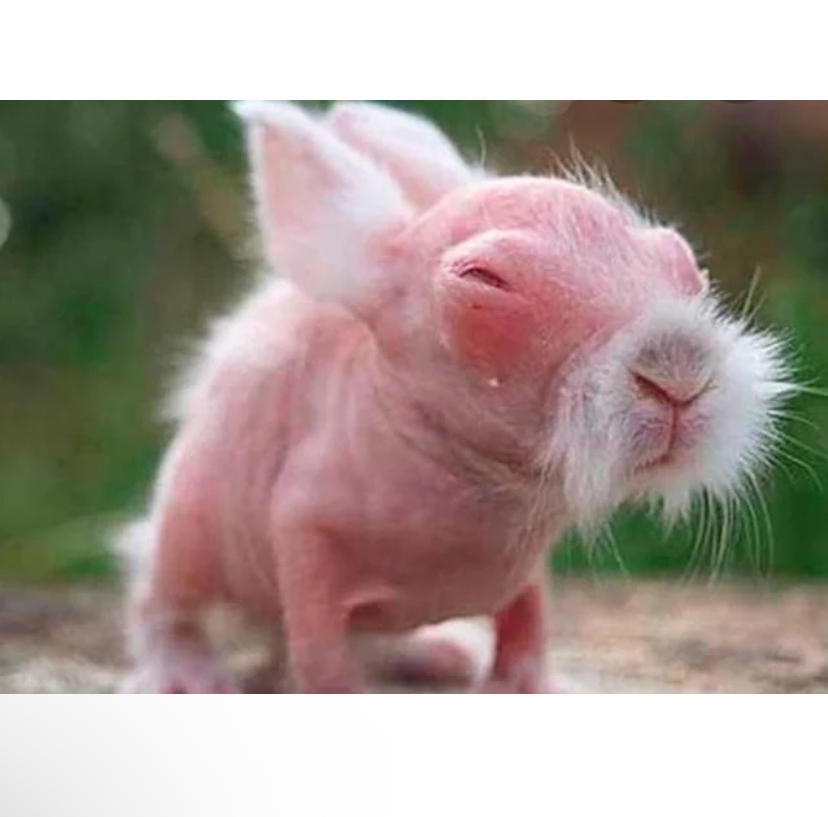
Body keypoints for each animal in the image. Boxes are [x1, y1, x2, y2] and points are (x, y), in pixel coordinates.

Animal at [119, 101, 791, 693]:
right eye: (485, 283)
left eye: (681, 259)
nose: (679, 371)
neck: (474, 485)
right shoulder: (303, 534)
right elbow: (321, 656)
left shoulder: (525, 571)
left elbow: (529, 626)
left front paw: (528, 690)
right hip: (187, 528)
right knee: (164, 605)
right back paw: (185, 678)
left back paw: (442, 652)